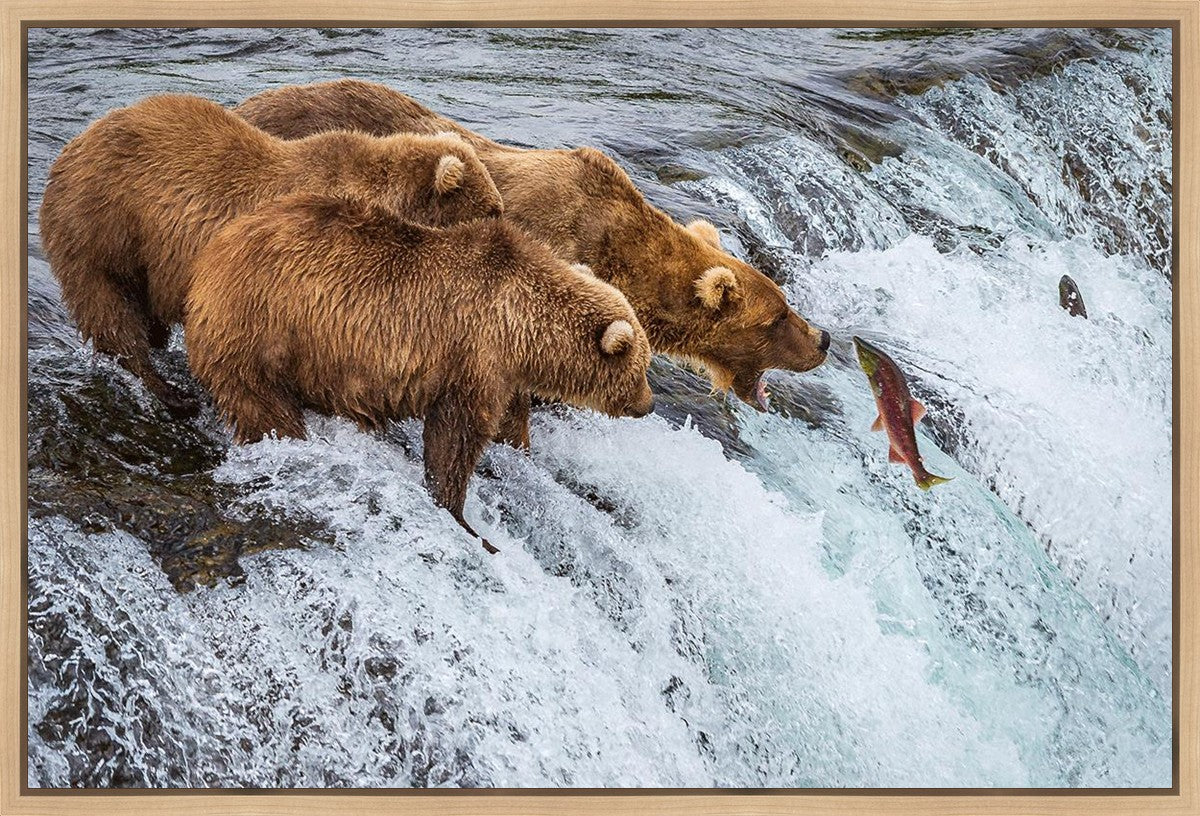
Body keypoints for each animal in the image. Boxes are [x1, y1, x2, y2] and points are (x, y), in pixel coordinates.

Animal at [40, 92, 504, 418]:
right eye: (492, 209)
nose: (505, 224)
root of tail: (71, 147)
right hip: (103, 227)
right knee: (109, 310)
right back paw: (169, 392)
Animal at [184, 191, 655, 554]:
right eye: (641, 368)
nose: (648, 405)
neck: (522, 326)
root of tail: (210, 256)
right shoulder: (473, 355)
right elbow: (455, 438)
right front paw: (464, 519)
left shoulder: (503, 373)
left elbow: (508, 423)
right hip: (261, 329)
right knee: (263, 405)